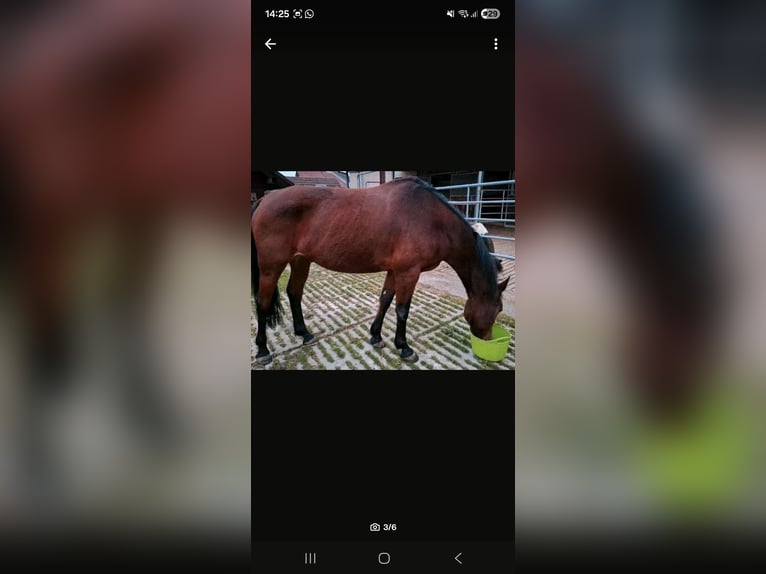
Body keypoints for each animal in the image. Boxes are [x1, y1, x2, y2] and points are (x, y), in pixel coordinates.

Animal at [251, 176, 510, 365]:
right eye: (498, 309)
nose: (486, 339)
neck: (432, 219)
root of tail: (263, 200)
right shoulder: (409, 272)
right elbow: (402, 310)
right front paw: (404, 348)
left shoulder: (396, 271)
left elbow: (385, 300)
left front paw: (375, 336)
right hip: (271, 267)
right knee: (262, 302)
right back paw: (263, 350)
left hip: (301, 261)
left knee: (294, 293)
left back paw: (304, 334)